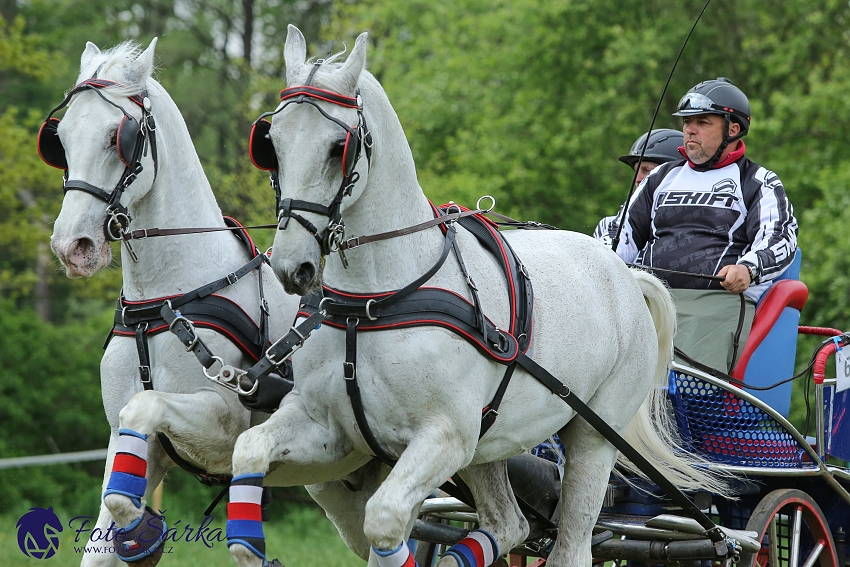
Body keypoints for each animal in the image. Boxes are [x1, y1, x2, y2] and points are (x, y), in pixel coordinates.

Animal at [46, 40, 374, 567]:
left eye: (119, 137)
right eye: (61, 138)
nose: (71, 246)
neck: (161, 304)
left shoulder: (223, 425)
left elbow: (147, 407)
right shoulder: (130, 444)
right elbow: (112, 512)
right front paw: (141, 536)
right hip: (341, 484)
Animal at [224, 25, 724, 567]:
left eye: (340, 145)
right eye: (271, 142)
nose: (292, 266)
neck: (374, 304)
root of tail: (626, 275)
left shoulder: (445, 436)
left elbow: (384, 519)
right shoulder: (326, 426)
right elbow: (249, 449)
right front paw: (250, 550)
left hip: (592, 438)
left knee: (570, 546)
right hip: (491, 442)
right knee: (510, 523)